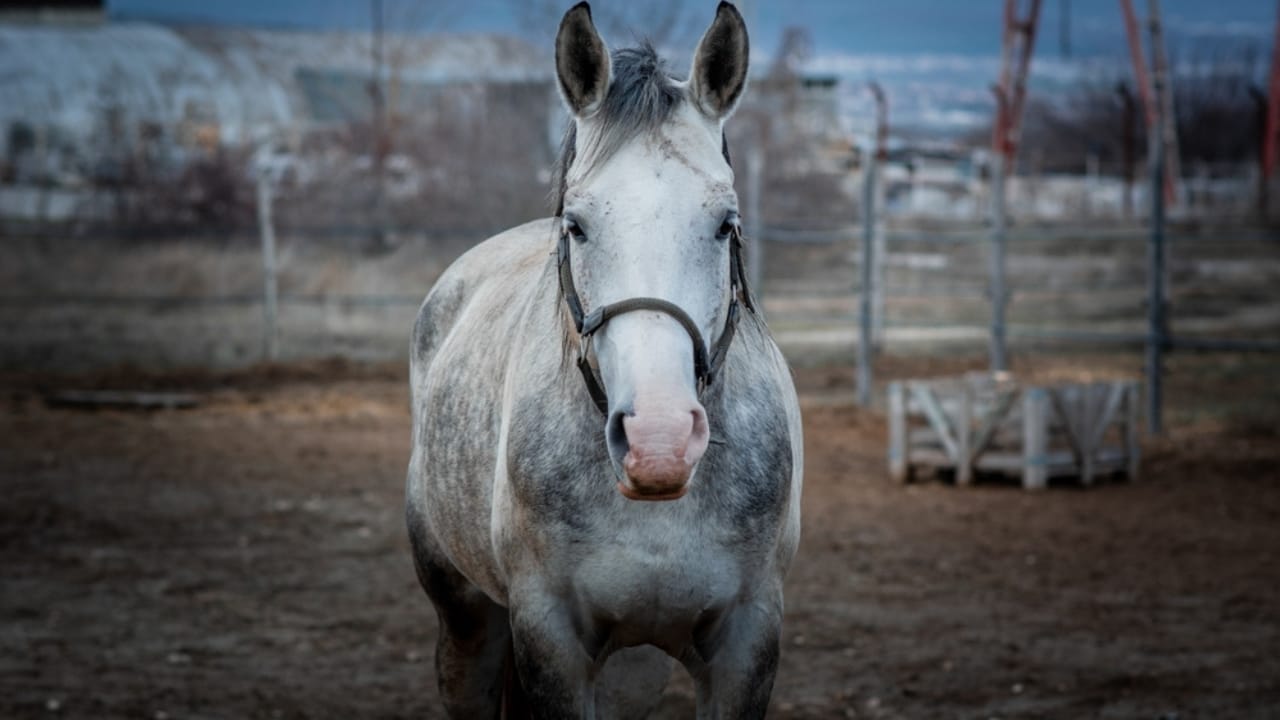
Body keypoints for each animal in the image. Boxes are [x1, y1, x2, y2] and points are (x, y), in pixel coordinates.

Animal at [405, 3, 803, 717]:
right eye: (577, 225)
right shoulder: (550, 637)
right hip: (466, 620)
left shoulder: (748, 640)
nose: (658, 441)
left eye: (726, 224)